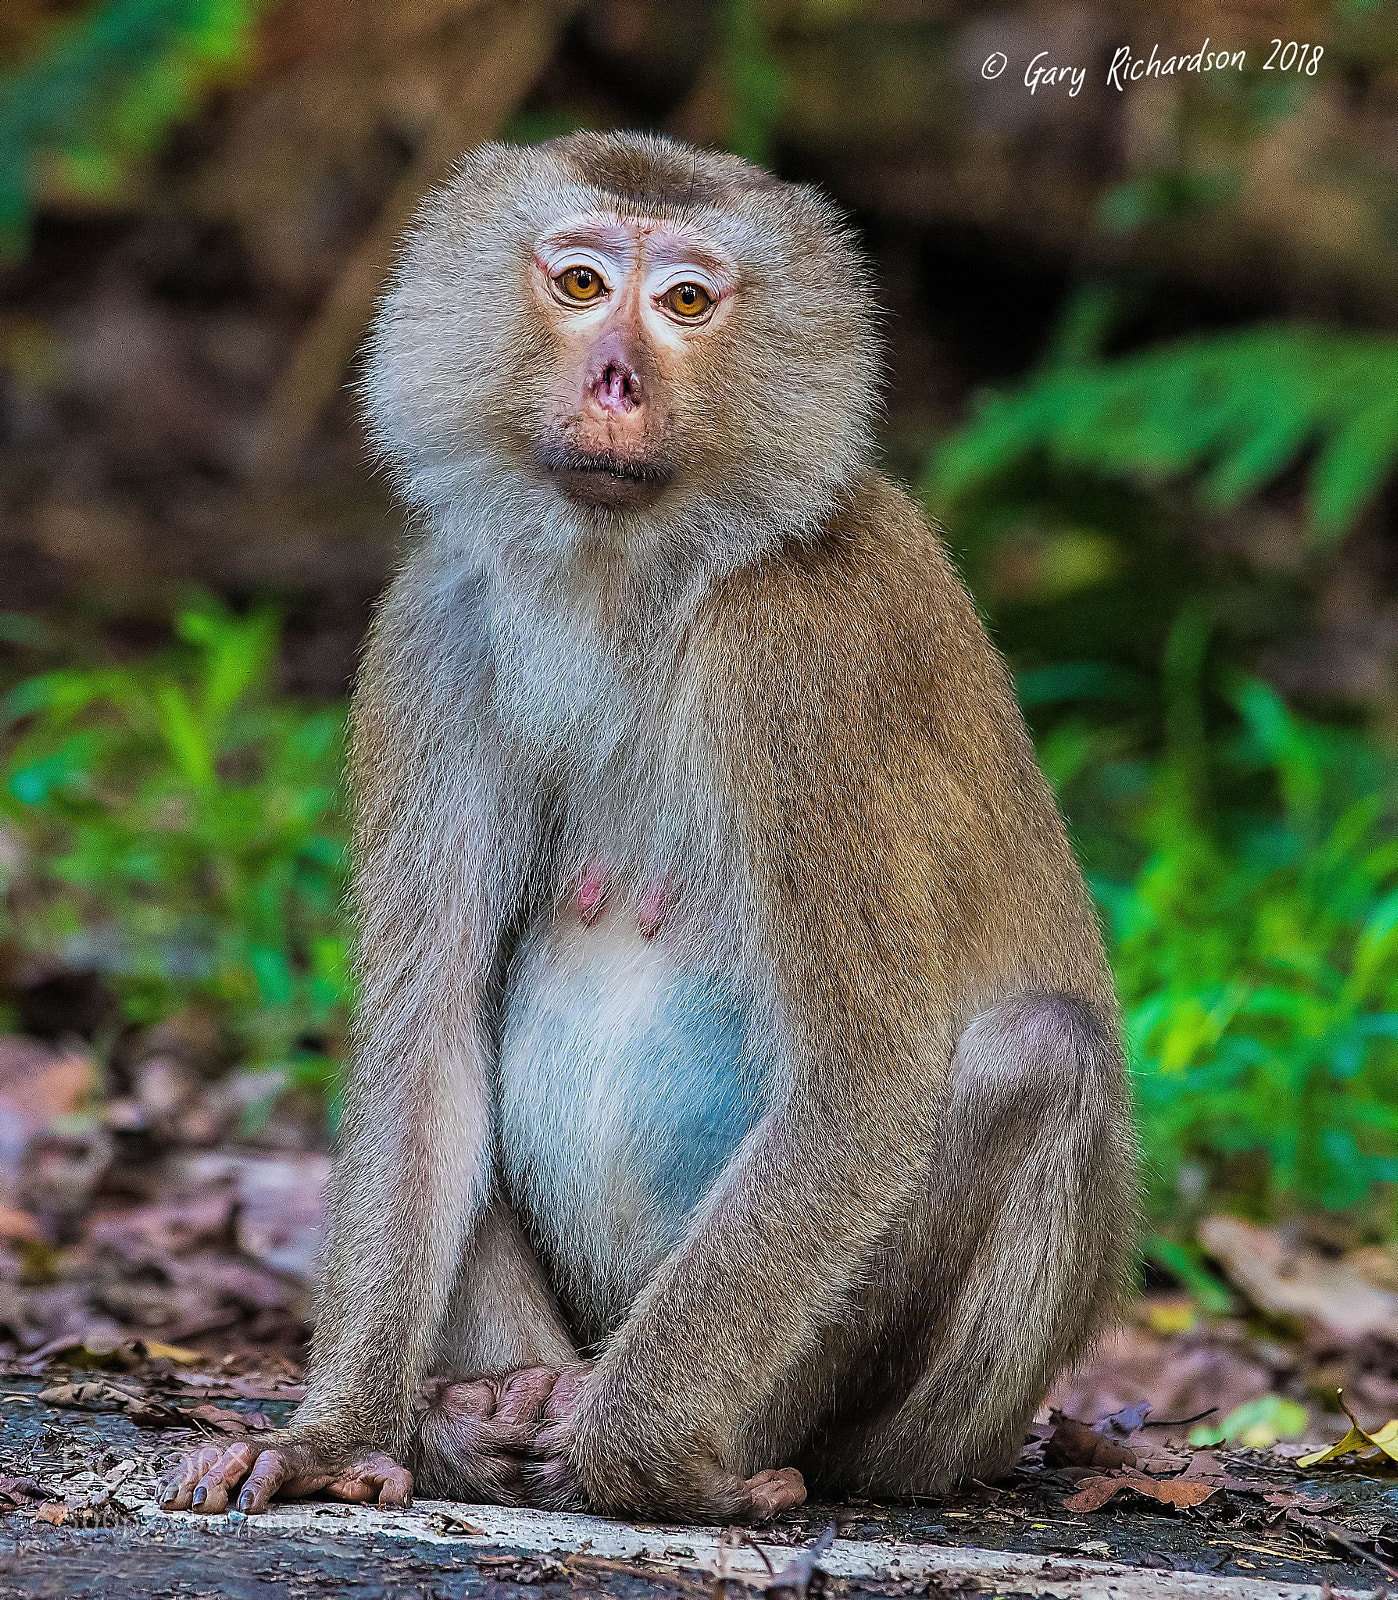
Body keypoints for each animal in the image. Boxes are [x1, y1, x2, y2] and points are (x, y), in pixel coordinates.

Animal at [161, 130, 1136, 1525]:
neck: (627, 576)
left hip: (937, 1423)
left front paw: (638, 1454)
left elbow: (860, 1083)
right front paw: (326, 1438)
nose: (616, 377)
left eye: (684, 302)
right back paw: (480, 1419)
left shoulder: (796, 655)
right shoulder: (438, 622)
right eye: (579, 283)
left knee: (1040, 1054)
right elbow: (427, 1046)